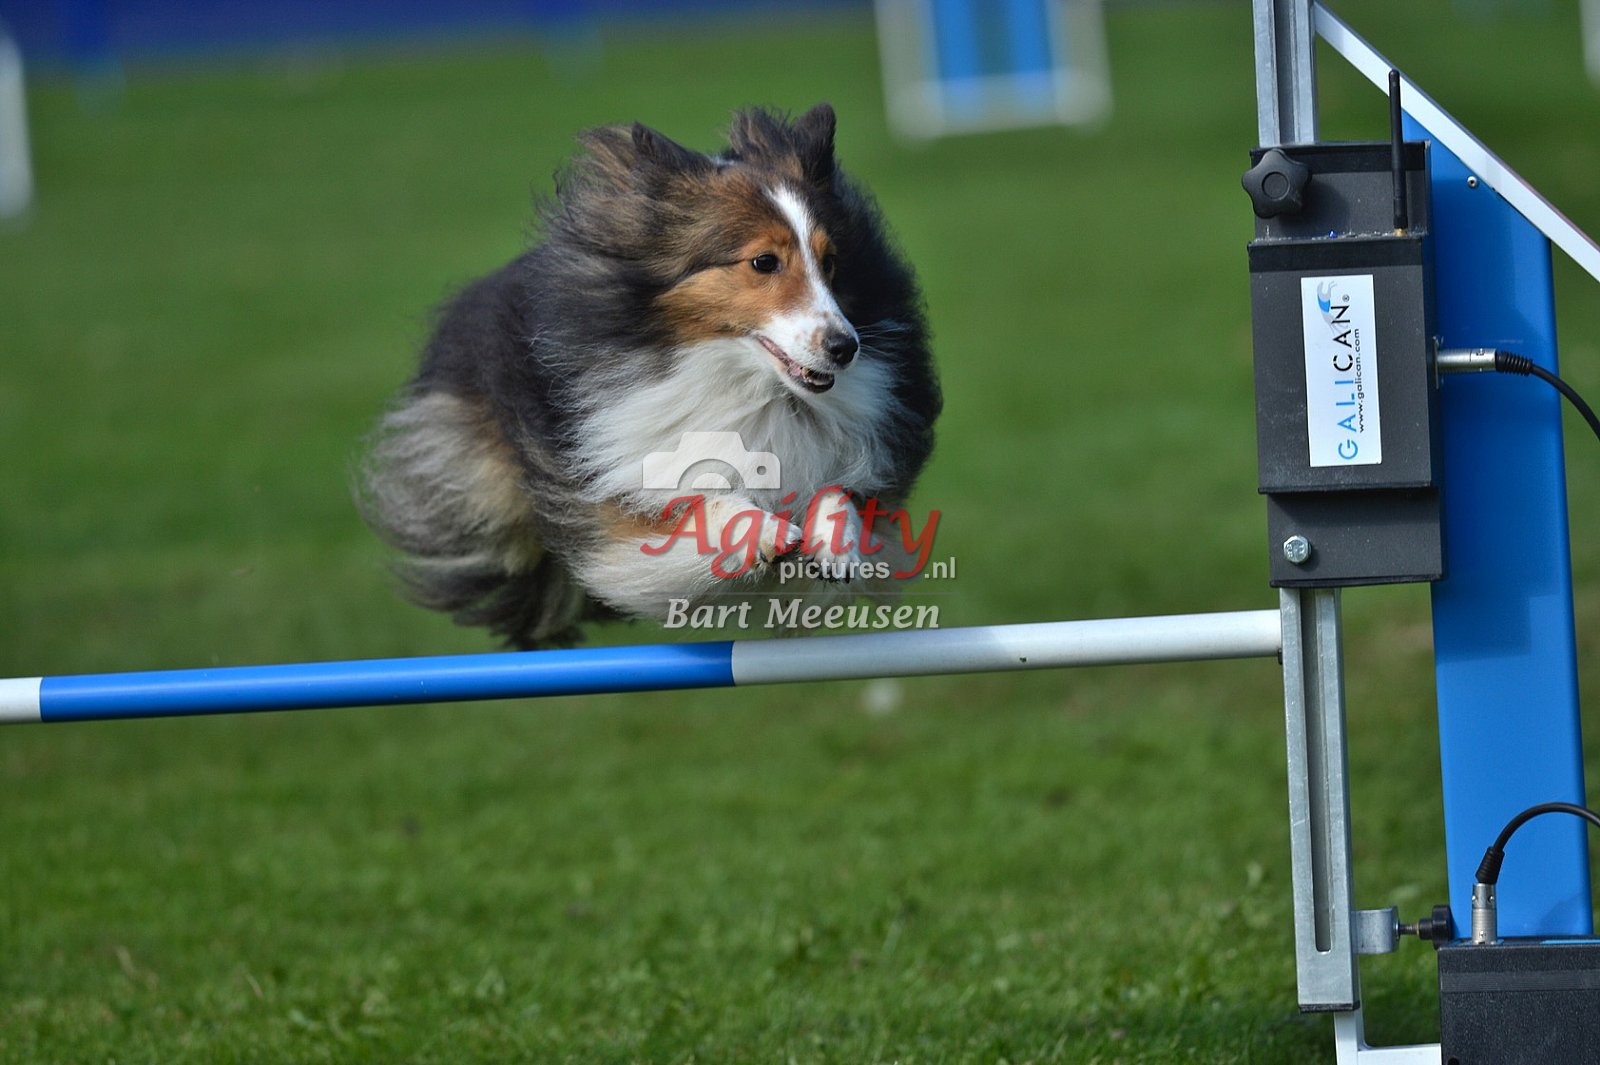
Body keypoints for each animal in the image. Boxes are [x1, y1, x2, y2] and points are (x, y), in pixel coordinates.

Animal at [360, 103, 941, 648]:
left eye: (832, 260)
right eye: (763, 262)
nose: (845, 348)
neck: (748, 385)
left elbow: (841, 491)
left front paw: (834, 544)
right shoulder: (610, 502)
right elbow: (694, 499)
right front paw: (764, 531)